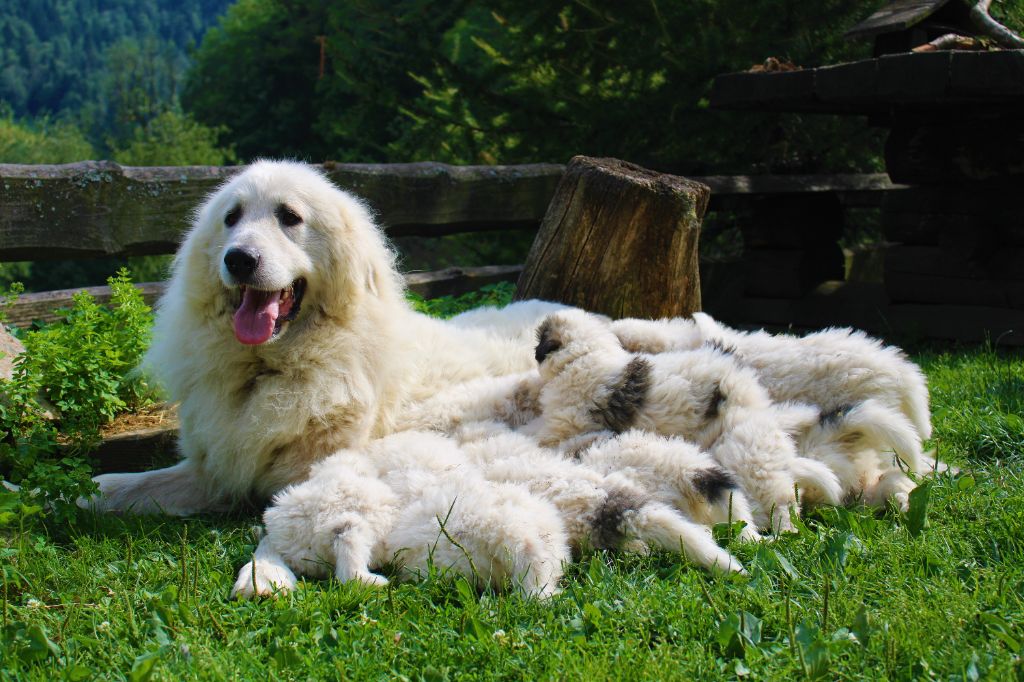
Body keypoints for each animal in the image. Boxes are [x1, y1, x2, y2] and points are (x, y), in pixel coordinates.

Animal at [89, 160, 565, 509]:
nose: (239, 259)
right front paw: (85, 497)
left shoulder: (309, 471)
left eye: (289, 217)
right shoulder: (214, 469)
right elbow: (122, 486)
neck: (270, 368)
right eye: (231, 218)